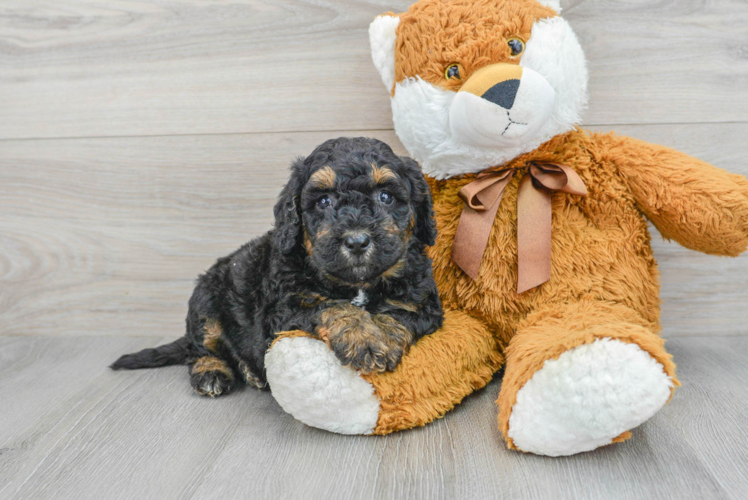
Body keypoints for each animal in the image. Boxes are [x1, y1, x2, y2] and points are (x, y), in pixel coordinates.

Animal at [111, 138, 444, 398]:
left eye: (386, 196)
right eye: (323, 201)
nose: (357, 241)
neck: (356, 284)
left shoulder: (423, 302)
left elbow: (398, 314)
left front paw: (380, 338)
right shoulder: (283, 308)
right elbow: (335, 306)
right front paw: (363, 338)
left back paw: (248, 371)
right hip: (205, 302)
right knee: (203, 347)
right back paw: (212, 372)